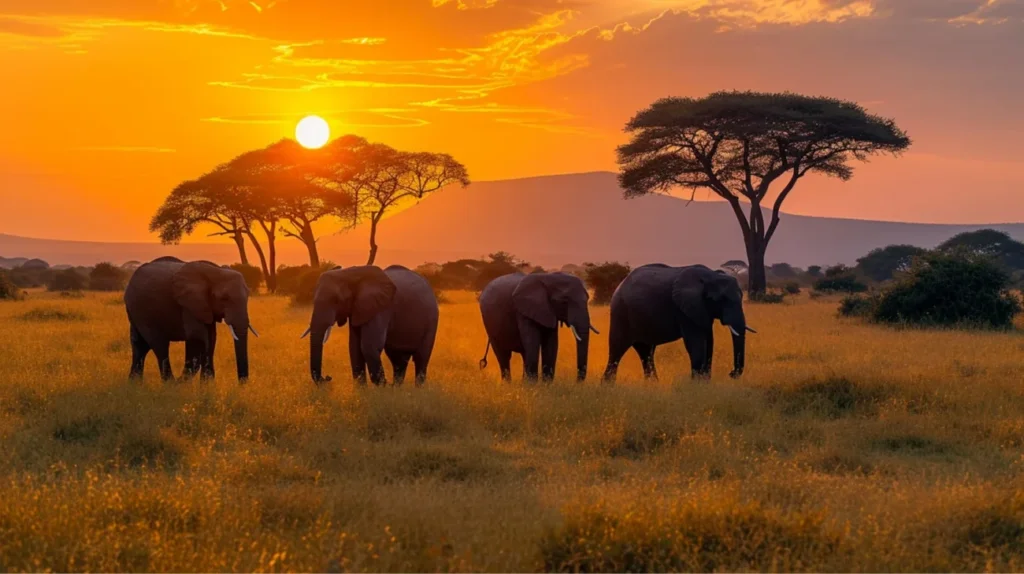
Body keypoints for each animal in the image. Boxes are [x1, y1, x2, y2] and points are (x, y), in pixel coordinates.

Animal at [124, 257, 257, 382]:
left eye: (248, 295)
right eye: (224, 298)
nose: (242, 384)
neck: (216, 271)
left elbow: (211, 339)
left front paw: (207, 386)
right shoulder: (189, 304)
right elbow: (197, 338)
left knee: (140, 345)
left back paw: (134, 383)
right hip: (140, 310)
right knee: (159, 344)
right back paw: (169, 383)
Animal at [303, 265, 439, 386]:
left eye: (336, 300)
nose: (328, 377)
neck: (350, 274)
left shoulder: (381, 308)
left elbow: (369, 345)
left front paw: (382, 387)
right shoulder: (357, 309)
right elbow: (354, 347)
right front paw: (363, 389)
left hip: (432, 319)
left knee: (421, 358)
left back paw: (416, 389)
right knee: (398, 360)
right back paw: (397, 388)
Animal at [601, 264, 756, 383]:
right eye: (720, 300)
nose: (731, 373)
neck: (710, 275)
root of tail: (620, 284)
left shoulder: (702, 310)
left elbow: (709, 342)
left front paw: (705, 384)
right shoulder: (685, 310)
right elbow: (696, 343)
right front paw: (696, 385)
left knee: (646, 352)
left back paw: (653, 385)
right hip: (620, 313)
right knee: (617, 350)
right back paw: (608, 386)